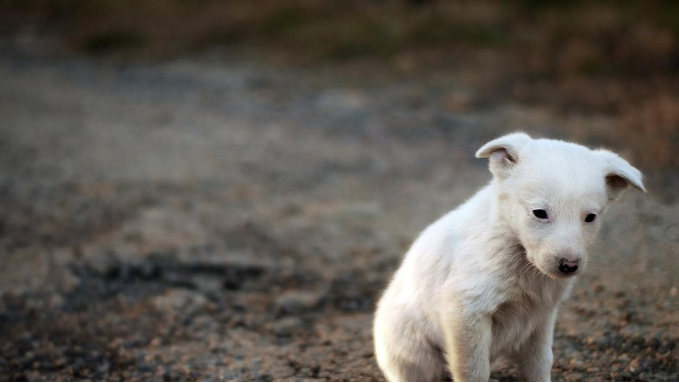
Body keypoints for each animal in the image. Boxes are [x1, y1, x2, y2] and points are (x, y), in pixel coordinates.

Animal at [374, 132, 644, 380]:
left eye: (590, 217)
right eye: (539, 212)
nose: (569, 265)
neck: (514, 246)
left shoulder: (541, 319)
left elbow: (540, 364)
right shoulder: (465, 311)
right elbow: (473, 371)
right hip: (414, 351)